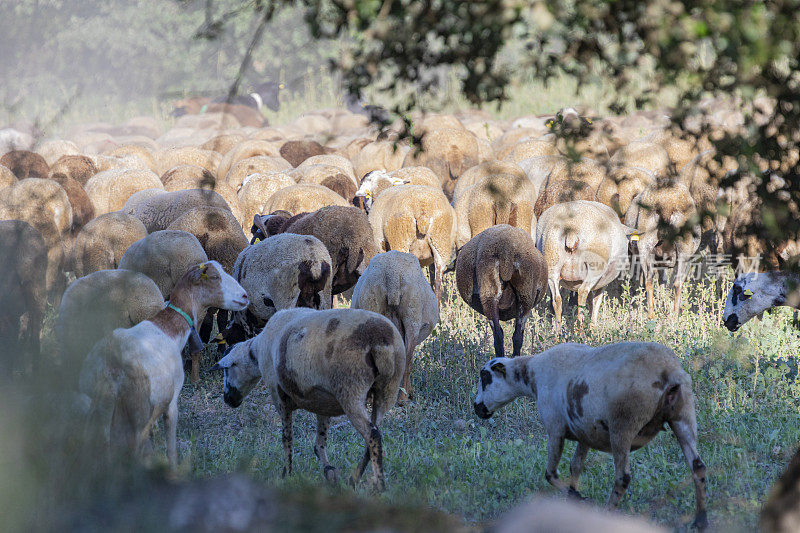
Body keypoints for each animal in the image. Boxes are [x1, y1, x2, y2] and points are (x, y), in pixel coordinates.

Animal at [211, 308, 406, 490]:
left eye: (226, 370)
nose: (227, 399)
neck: (257, 352)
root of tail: (381, 341)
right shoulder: (324, 403)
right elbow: (319, 444)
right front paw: (329, 472)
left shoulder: (278, 395)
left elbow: (287, 438)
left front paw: (287, 474)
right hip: (387, 390)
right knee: (373, 435)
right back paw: (354, 479)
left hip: (351, 389)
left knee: (372, 434)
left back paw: (379, 485)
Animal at [536, 200, 636, 332]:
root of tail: (572, 228)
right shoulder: (602, 282)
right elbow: (596, 301)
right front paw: (593, 328)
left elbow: (590, 301)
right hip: (595, 266)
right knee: (582, 292)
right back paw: (579, 330)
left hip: (552, 262)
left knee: (557, 299)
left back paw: (558, 333)